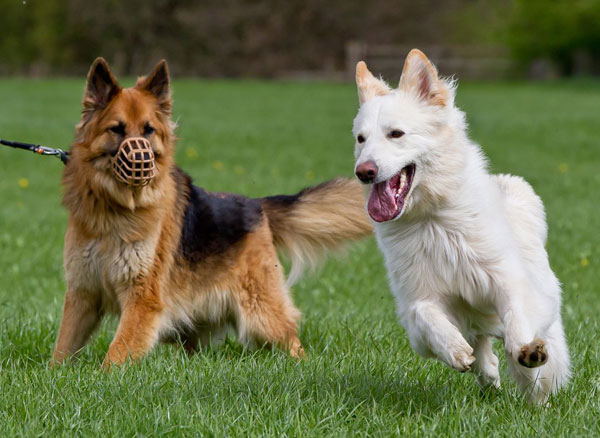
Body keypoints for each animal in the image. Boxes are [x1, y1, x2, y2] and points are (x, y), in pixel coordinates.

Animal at [52, 57, 370, 366]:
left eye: (148, 130)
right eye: (116, 129)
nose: (142, 159)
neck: (114, 208)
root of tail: (257, 205)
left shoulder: (142, 298)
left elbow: (117, 353)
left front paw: (104, 375)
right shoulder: (82, 296)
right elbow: (62, 347)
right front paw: (57, 372)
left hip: (261, 315)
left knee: (292, 341)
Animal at [354, 49, 568, 402]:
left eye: (396, 133)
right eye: (361, 139)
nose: (364, 172)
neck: (432, 219)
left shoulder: (506, 280)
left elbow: (515, 316)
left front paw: (524, 350)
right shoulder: (416, 301)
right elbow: (426, 315)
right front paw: (454, 349)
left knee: (536, 381)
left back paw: (532, 384)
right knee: (482, 349)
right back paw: (487, 373)